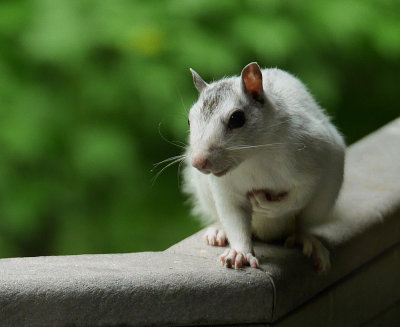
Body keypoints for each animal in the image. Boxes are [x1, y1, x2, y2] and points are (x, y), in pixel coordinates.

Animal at [183, 62, 346, 272]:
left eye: (237, 118)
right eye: (189, 120)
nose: (198, 161)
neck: (253, 158)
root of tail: (269, 232)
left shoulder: (312, 161)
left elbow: (300, 195)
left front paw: (269, 206)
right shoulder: (226, 191)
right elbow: (234, 219)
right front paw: (239, 253)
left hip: (322, 200)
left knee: (302, 225)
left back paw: (307, 239)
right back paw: (219, 230)